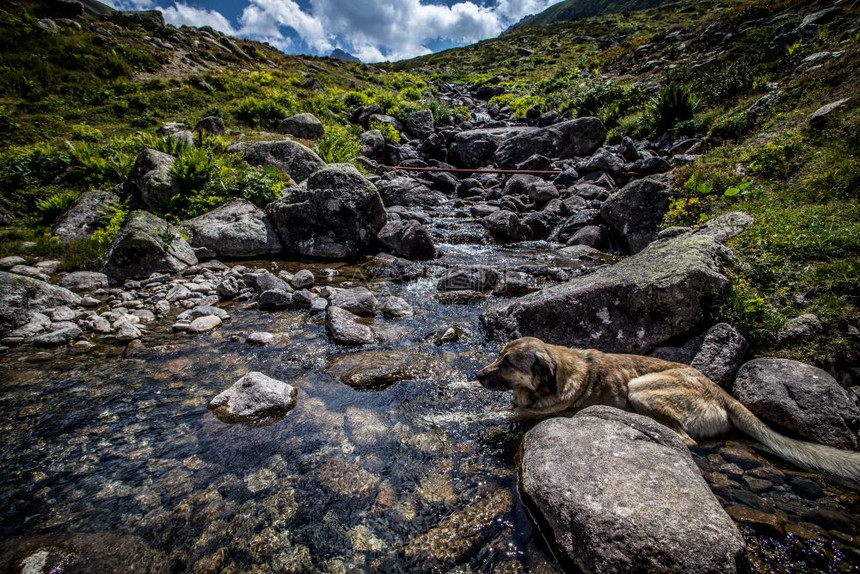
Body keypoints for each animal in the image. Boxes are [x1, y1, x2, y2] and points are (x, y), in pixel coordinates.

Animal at [478, 338, 860, 486]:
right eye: (498, 355)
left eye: (508, 363)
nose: (478, 375)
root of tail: (720, 390)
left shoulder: (537, 413)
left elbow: (499, 417)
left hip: (640, 387)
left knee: (685, 439)